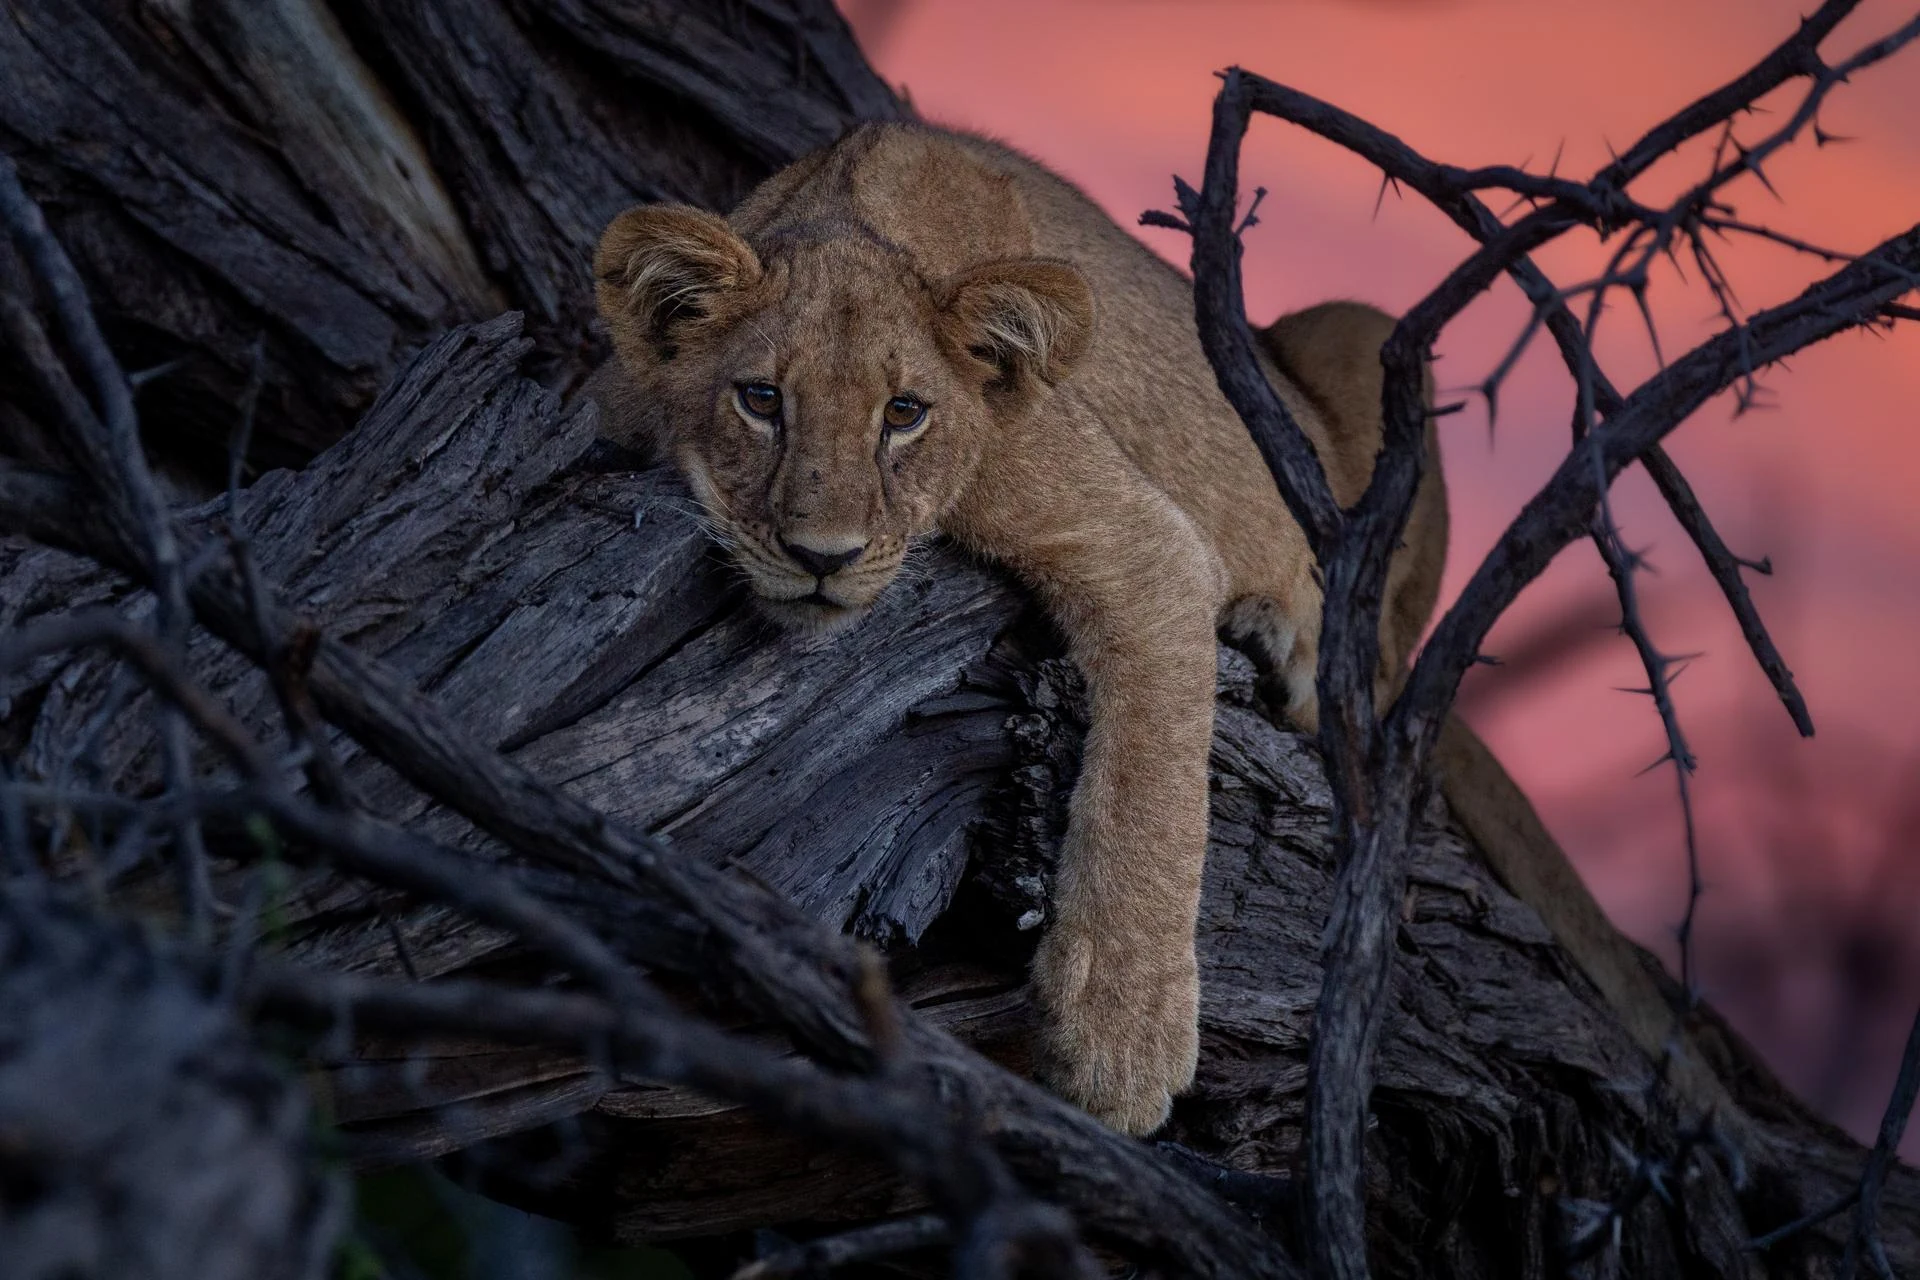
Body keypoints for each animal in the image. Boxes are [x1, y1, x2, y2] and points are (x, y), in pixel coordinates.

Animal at [589, 122, 1735, 1137]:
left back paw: (1296, 637)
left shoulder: (1140, 536)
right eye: (760, 400)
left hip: (1362, 331)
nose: (822, 554)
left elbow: (1152, 789)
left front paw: (1120, 1042)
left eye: (904, 413)